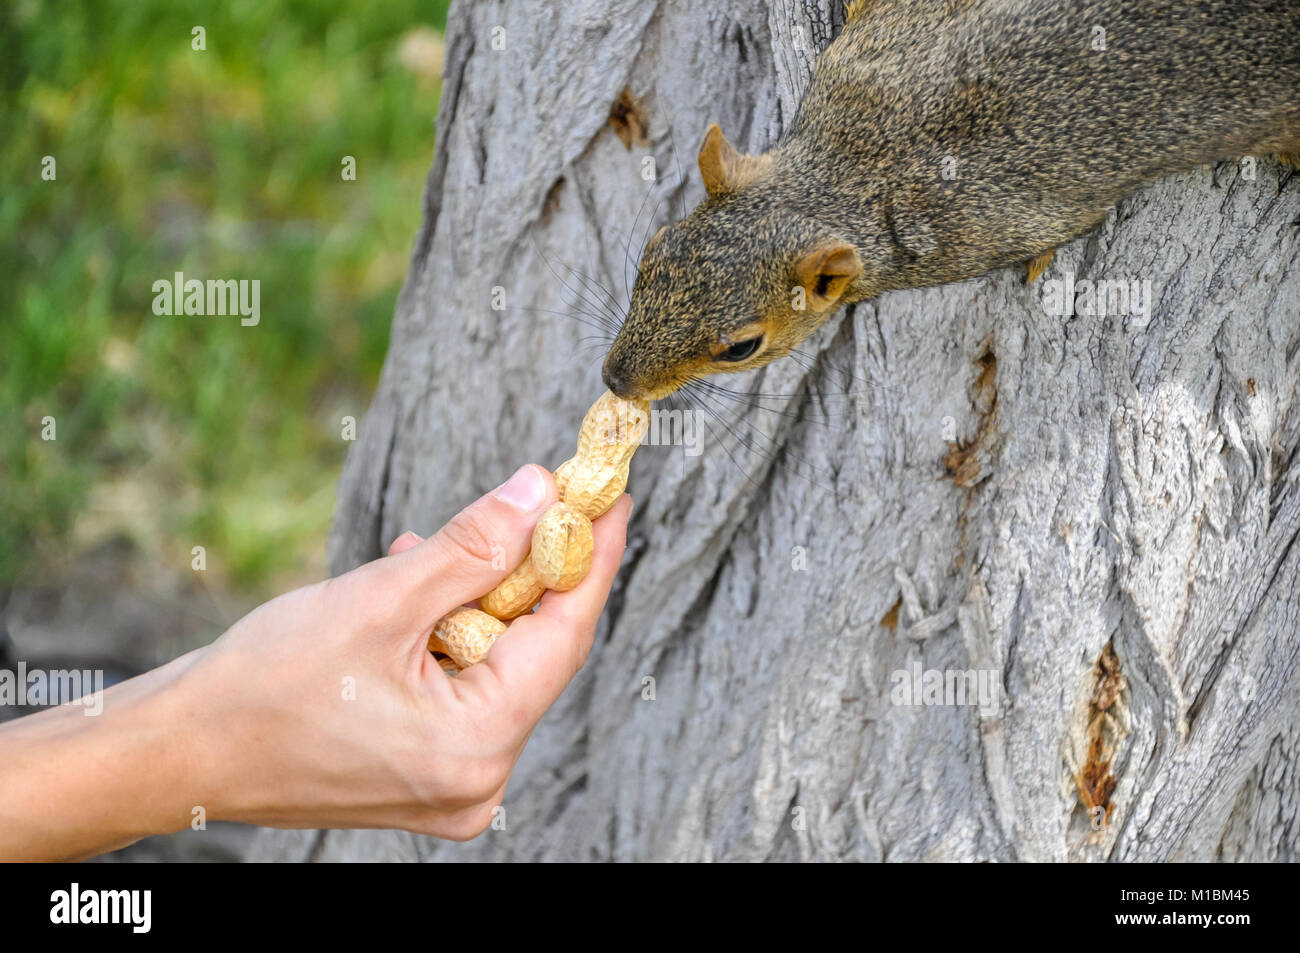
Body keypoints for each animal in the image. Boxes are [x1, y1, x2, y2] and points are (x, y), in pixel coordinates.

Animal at [601, 0, 1300, 401]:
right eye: (654, 252)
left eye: (742, 347)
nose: (616, 382)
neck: (853, 171)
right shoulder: (873, 49)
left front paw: (1040, 265)